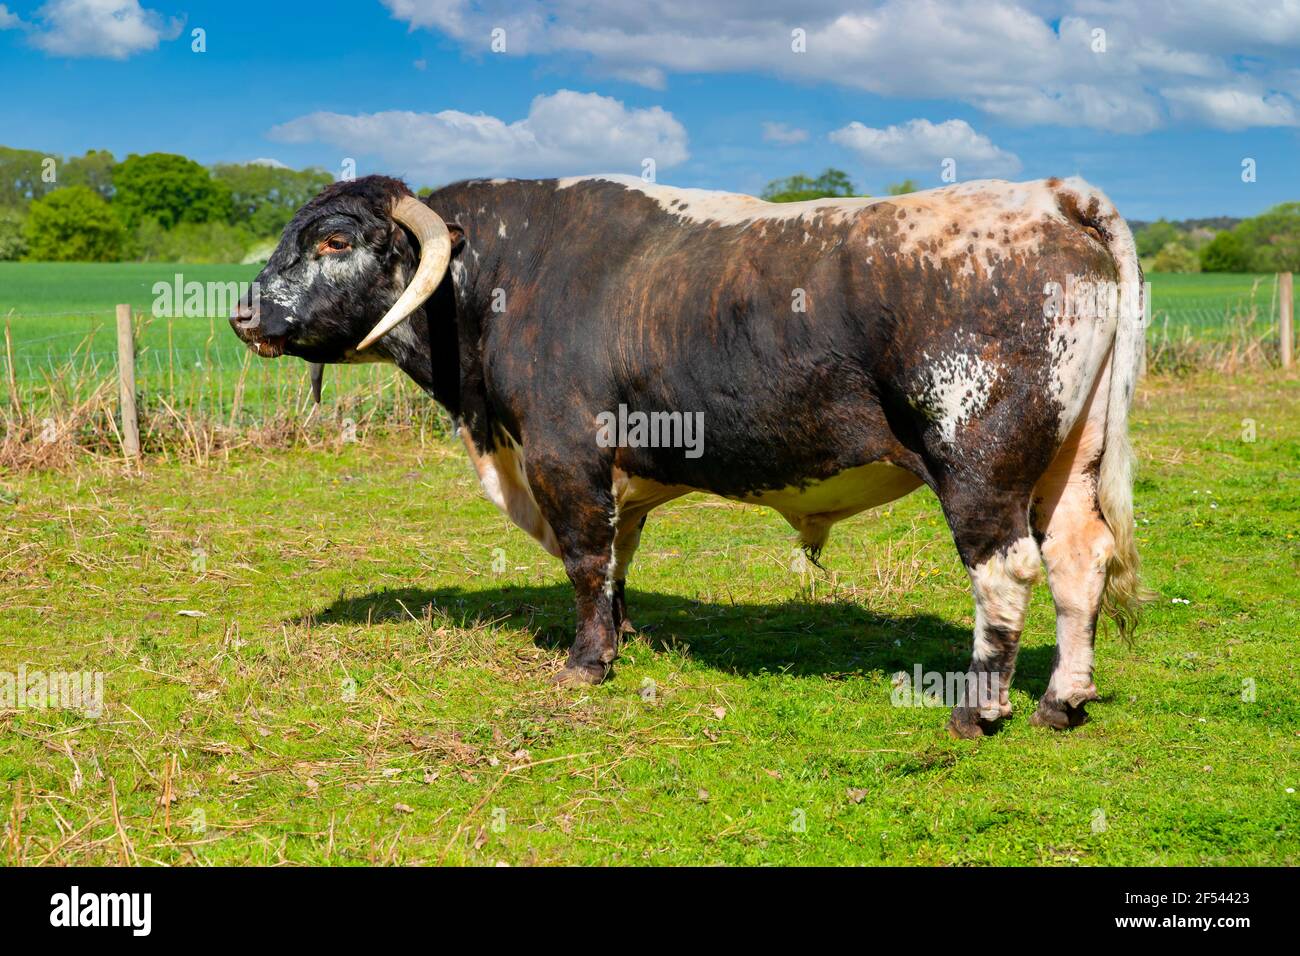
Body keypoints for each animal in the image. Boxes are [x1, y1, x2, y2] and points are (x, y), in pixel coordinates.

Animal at [230, 172, 1146, 738]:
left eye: (334, 243)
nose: (242, 314)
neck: (492, 278)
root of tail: (1047, 196)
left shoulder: (564, 455)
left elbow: (585, 560)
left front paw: (586, 662)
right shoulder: (617, 478)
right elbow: (617, 562)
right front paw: (621, 638)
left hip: (978, 464)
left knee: (1006, 571)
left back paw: (978, 710)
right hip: (1067, 461)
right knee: (1079, 560)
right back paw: (1062, 700)